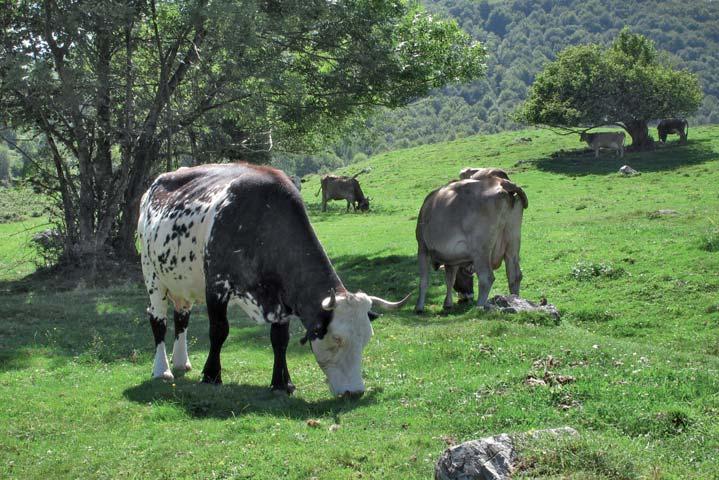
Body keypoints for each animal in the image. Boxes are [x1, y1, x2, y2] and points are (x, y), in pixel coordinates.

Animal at [136, 163, 408, 396]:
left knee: (181, 318)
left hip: (182, 282)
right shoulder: (216, 285)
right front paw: (212, 375)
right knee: (158, 320)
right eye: (337, 338)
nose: (356, 391)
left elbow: (280, 339)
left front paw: (281, 383)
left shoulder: (282, 298)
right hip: (152, 275)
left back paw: (182, 362)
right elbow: (219, 330)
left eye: (366, 338)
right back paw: (162, 370)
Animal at [414, 171, 524, 314]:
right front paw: (448, 303)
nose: (469, 296)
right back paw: (515, 300)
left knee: (487, 278)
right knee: (514, 275)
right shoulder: (451, 258)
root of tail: (502, 182)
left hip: (481, 251)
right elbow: (450, 278)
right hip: (512, 241)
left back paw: (479, 307)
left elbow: (424, 280)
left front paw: (419, 306)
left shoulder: (422, 248)